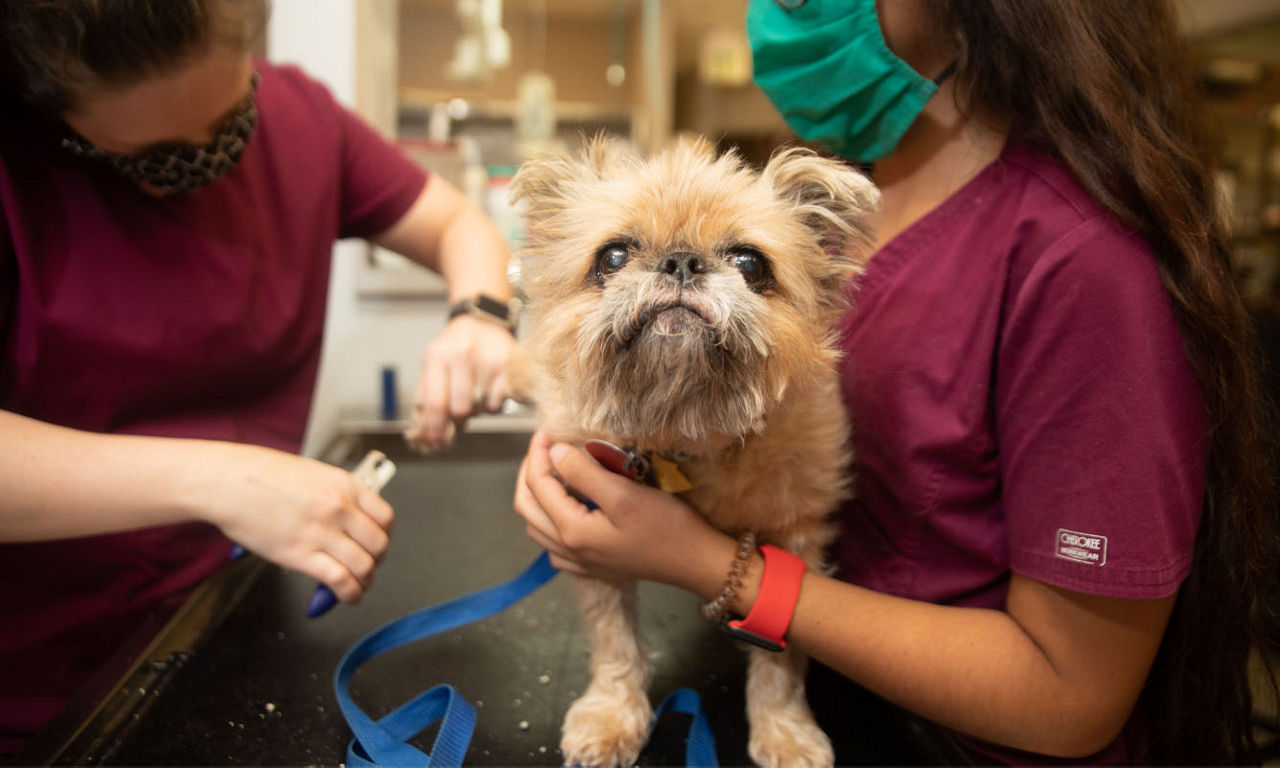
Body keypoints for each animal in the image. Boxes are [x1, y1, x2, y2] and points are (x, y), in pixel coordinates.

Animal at [509, 138, 880, 768]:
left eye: (750, 264)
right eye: (613, 256)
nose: (681, 261)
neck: (686, 437)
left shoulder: (795, 540)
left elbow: (783, 659)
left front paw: (784, 729)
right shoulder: (590, 543)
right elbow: (613, 639)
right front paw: (613, 712)